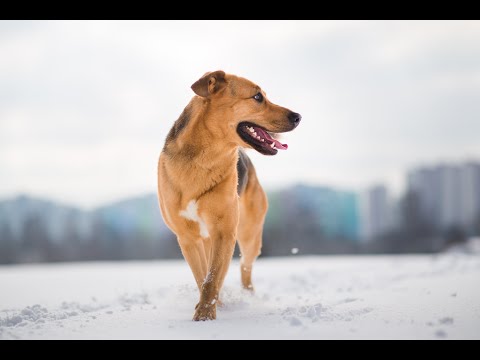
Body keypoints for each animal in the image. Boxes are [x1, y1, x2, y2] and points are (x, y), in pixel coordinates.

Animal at [158, 70, 300, 320]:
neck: (203, 159)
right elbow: (203, 277)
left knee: (245, 268)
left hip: (249, 235)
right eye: (257, 97)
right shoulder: (187, 237)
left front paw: (204, 316)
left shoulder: (224, 231)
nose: (298, 116)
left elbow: (212, 279)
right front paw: (206, 312)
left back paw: (247, 297)